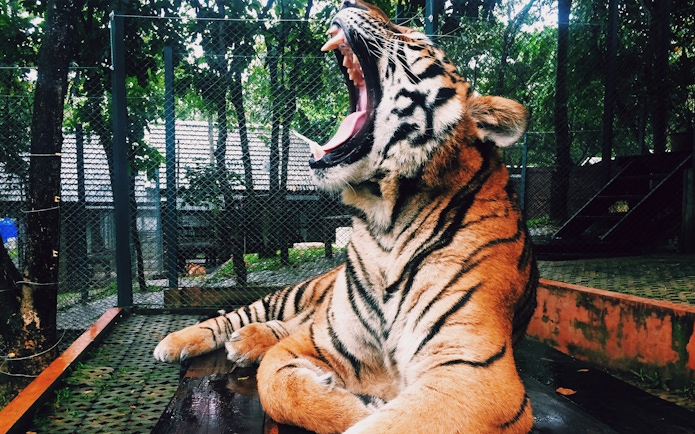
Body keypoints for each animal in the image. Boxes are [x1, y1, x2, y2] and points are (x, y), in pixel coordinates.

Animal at [153, 0, 538, 433]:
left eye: (414, 38)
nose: (356, 4)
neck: (386, 222)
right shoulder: (321, 338)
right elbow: (276, 384)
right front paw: (361, 405)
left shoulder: (473, 370)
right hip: (297, 293)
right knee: (240, 315)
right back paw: (176, 343)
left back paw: (247, 342)